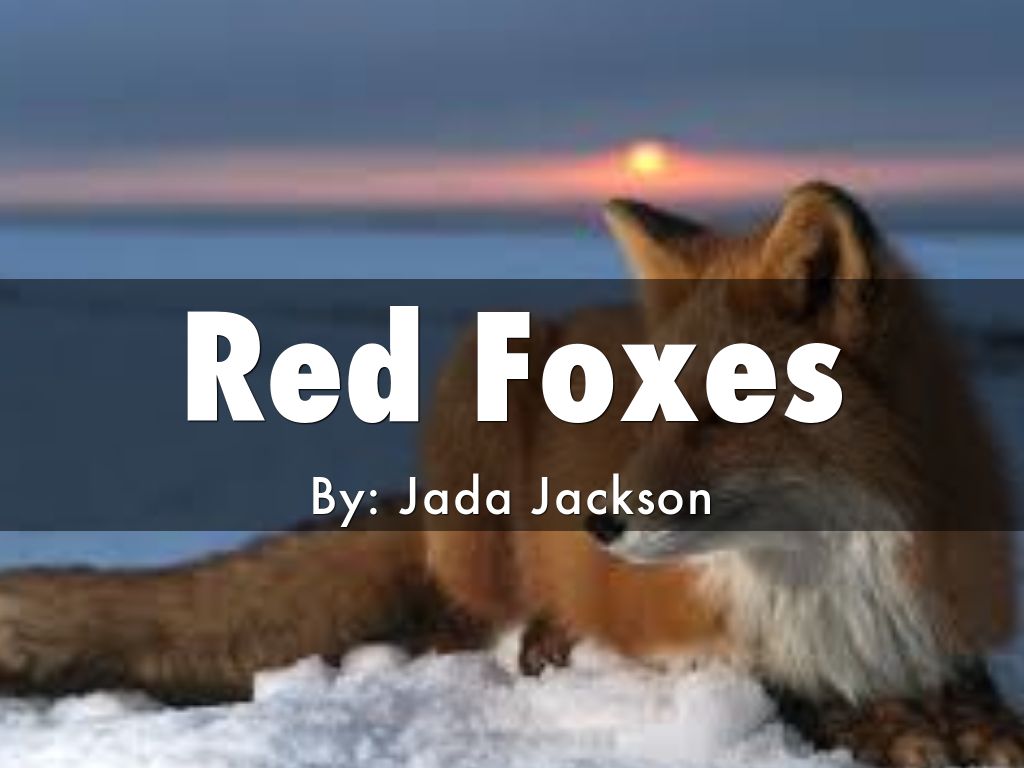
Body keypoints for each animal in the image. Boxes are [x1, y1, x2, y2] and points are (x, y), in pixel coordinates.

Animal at [0, 182, 1019, 767]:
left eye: (722, 409)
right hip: (482, 394)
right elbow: (799, 693)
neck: (838, 575)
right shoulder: (703, 640)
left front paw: (967, 727)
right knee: (464, 624)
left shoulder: (939, 621)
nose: (595, 523)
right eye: (649, 408)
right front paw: (895, 732)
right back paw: (539, 639)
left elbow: (973, 693)